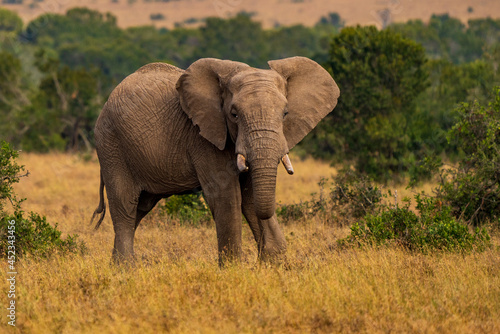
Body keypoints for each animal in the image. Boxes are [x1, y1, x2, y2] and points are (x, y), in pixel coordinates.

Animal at [90, 56, 340, 264]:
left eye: (285, 113)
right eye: (234, 114)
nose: (264, 257)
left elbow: (250, 197)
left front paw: (273, 264)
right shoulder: (203, 136)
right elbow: (227, 195)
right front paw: (234, 270)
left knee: (139, 209)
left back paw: (117, 266)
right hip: (111, 147)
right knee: (125, 207)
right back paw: (126, 270)